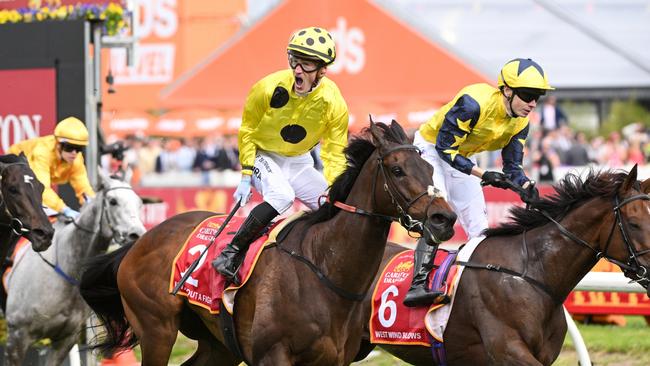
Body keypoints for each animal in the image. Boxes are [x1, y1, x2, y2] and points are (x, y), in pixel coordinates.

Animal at [79, 119, 456, 364]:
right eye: (397, 170)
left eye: (430, 169)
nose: (444, 218)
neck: (325, 269)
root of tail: (139, 242)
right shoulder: (272, 355)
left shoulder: (334, 360)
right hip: (157, 330)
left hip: (216, 345)